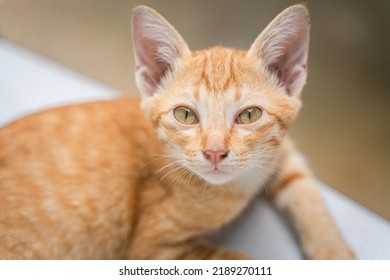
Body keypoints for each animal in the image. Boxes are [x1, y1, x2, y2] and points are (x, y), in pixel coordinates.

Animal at [0, 4, 354, 260]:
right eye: (185, 115)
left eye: (249, 115)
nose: (214, 152)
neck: (238, 186)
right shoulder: (152, 248)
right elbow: (238, 259)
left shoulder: (283, 149)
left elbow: (305, 188)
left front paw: (334, 253)